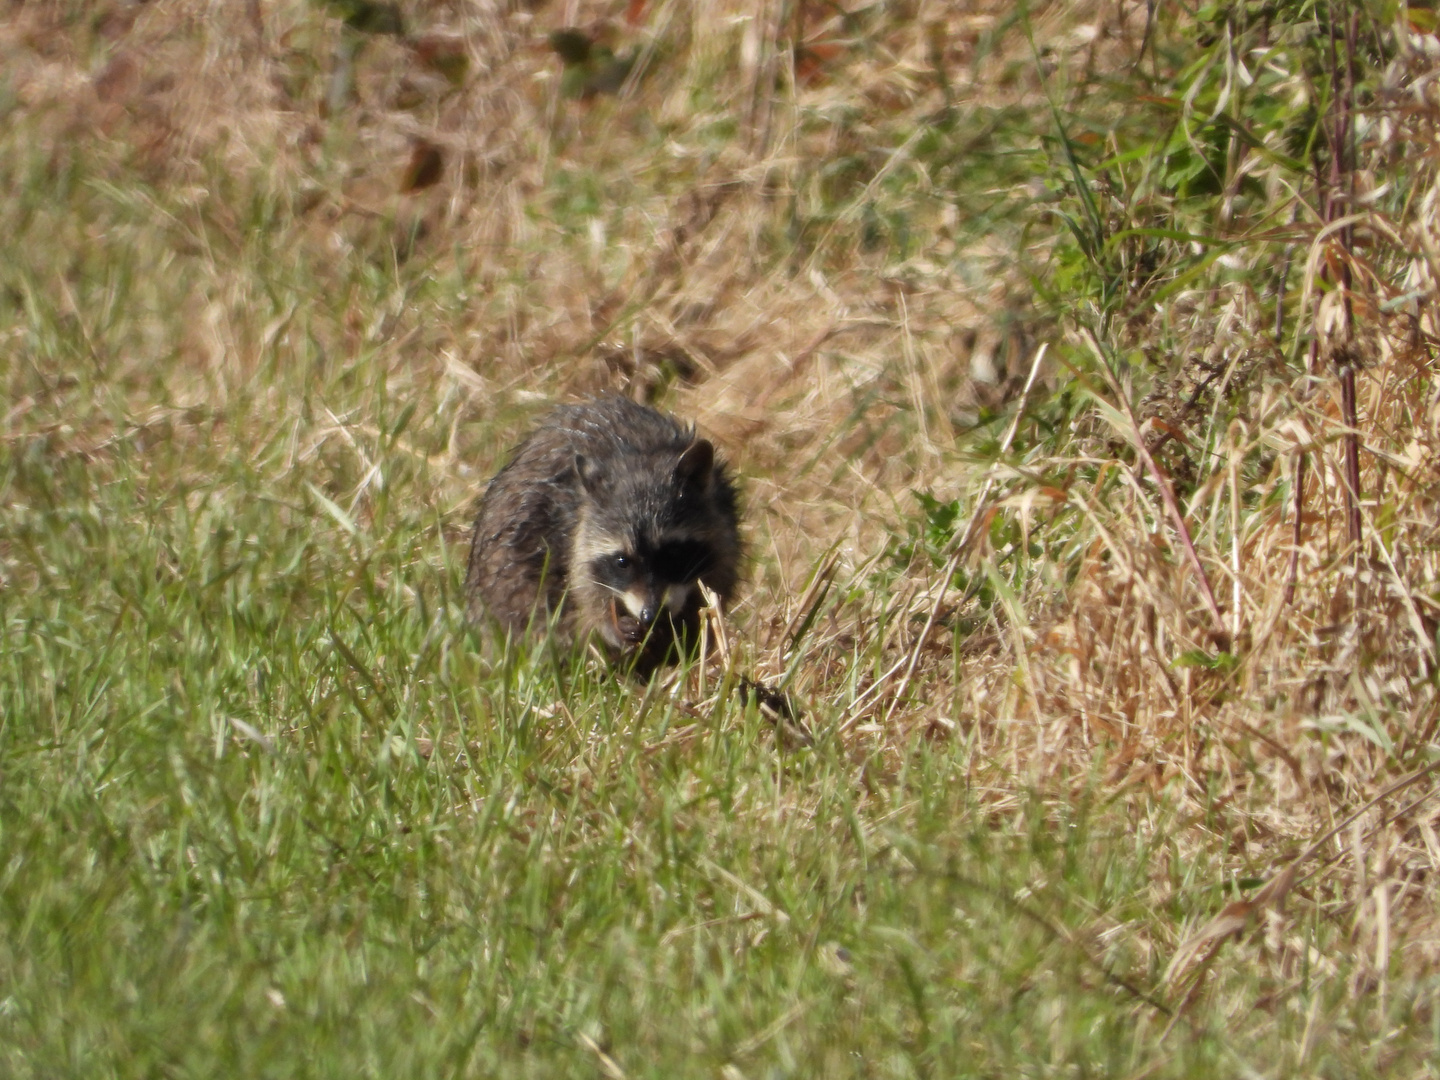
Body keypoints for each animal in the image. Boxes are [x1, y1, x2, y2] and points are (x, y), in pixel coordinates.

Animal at [466, 394, 743, 673]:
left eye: (673, 554)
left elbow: (715, 586)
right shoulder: (576, 534)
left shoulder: (723, 529)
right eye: (622, 562)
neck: (638, 462)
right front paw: (607, 626)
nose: (651, 616)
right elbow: (584, 591)